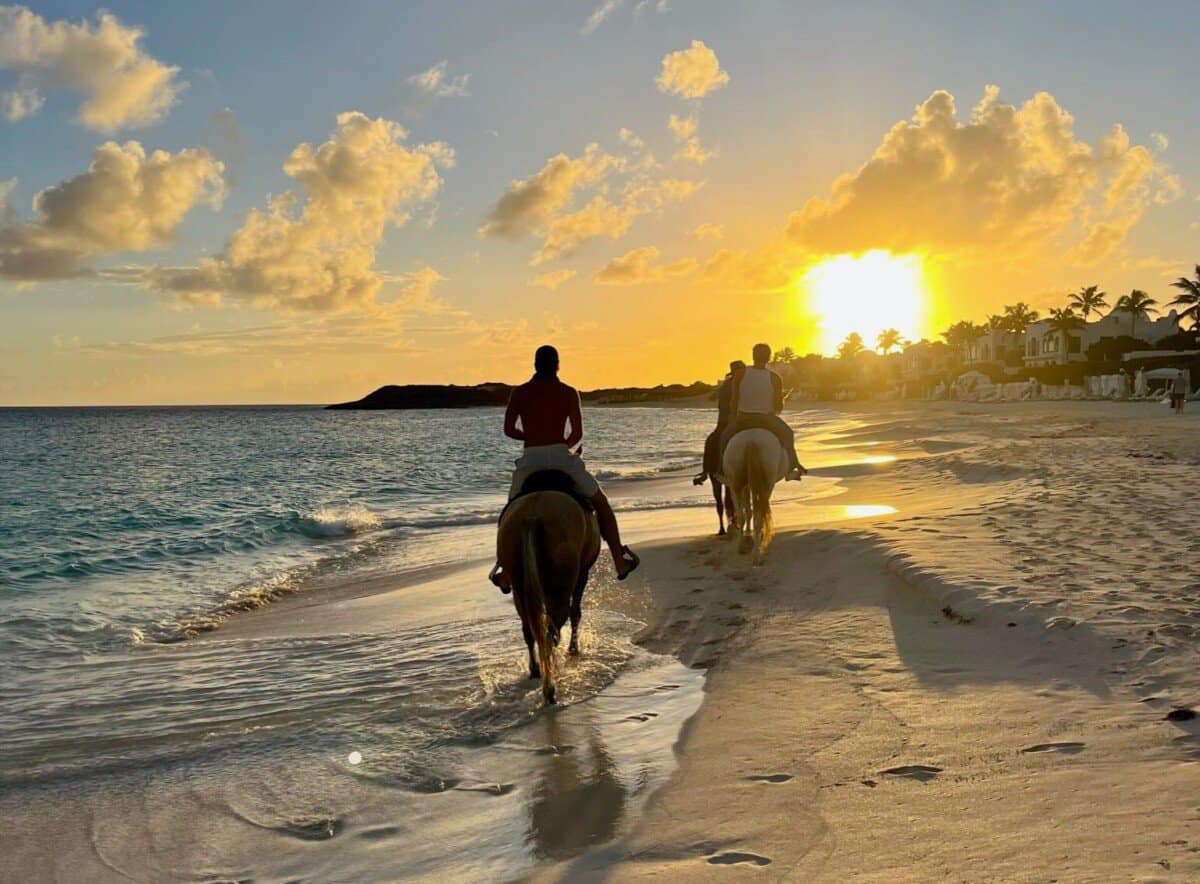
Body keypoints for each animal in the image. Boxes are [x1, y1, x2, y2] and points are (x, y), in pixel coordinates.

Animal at [494, 472, 600, 705]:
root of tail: (532, 515)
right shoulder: (582, 573)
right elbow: (576, 612)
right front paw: (573, 649)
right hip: (561, 582)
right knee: (553, 627)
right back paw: (551, 685)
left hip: (518, 582)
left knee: (530, 628)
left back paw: (536, 671)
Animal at [720, 429, 787, 566]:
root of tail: (751, 441)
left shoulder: (744, 486)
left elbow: (747, 510)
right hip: (766, 484)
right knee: (758, 515)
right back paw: (756, 553)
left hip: (736, 484)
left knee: (742, 515)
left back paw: (744, 547)